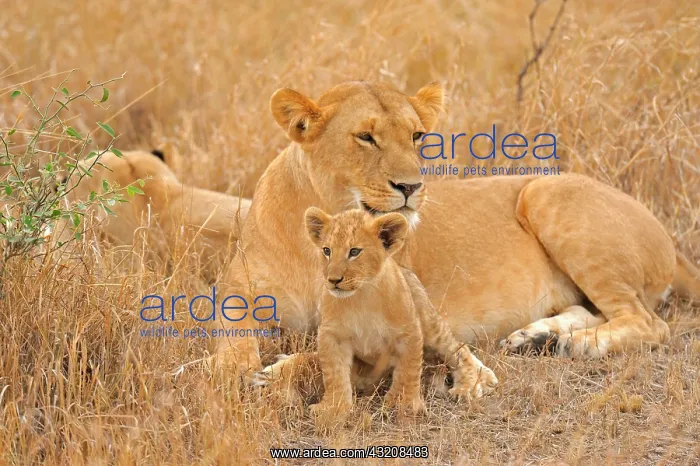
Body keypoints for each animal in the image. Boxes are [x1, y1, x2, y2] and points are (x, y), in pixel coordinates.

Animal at [218, 81, 700, 377]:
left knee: (648, 322)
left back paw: (576, 346)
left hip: (544, 191)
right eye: (366, 137)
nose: (411, 187)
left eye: (416, 136)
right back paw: (538, 338)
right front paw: (222, 370)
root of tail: (674, 244)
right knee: (598, 310)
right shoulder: (237, 290)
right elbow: (231, 336)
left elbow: (319, 351)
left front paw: (272, 373)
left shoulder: (403, 323)